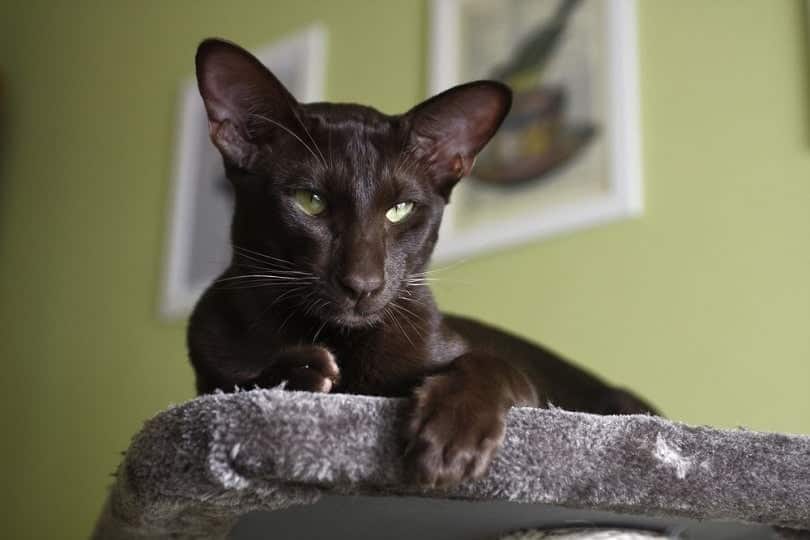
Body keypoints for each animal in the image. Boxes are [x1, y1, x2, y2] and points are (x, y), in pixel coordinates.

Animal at [186, 39, 652, 490]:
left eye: (400, 209)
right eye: (310, 201)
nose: (362, 284)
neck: (340, 340)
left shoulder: (530, 394)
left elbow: (485, 363)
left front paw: (450, 437)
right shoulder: (209, 380)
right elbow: (231, 385)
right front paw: (297, 372)